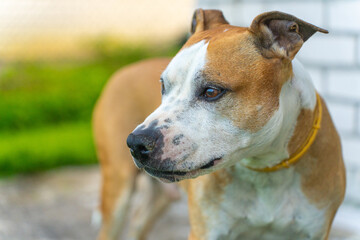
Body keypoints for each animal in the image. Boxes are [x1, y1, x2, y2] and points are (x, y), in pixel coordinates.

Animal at [93, 8, 346, 239]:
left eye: (211, 91)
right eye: (163, 86)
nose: (136, 142)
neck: (265, 167)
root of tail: (122, 70)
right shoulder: (204, 231)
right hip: (117, 190)